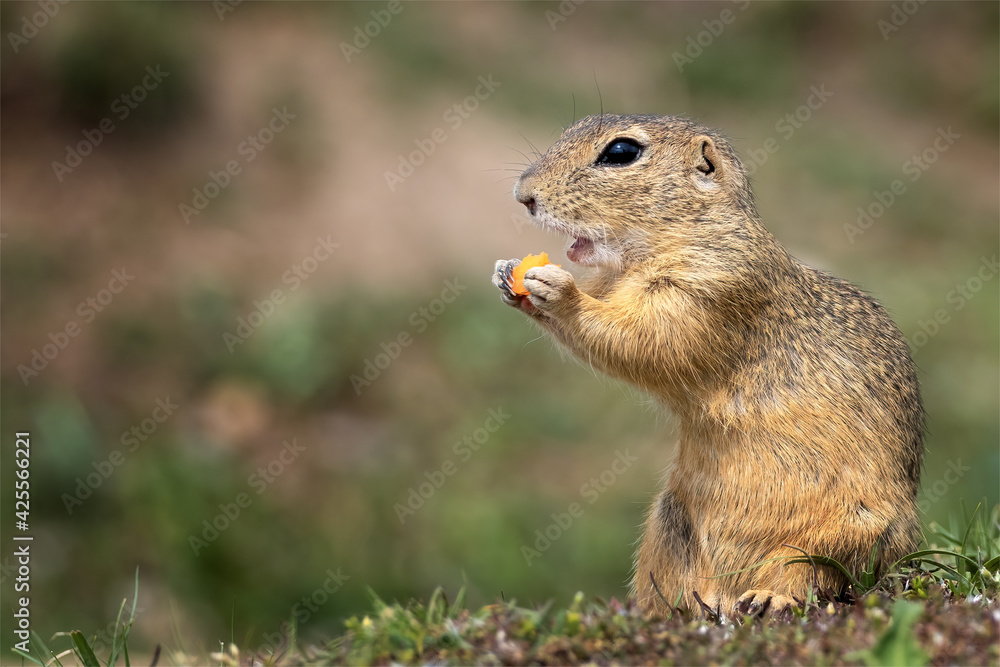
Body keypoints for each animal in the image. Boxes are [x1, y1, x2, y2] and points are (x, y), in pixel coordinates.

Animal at [492, 114, 924, 617]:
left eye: (620, 153)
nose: (523, 194)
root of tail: (724, 591)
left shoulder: (710, 290)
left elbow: (641, 336)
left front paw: (558, 291)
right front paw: (507, 275)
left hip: (839, 537)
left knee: (808, 575)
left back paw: (769, 598)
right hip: (667, 529)